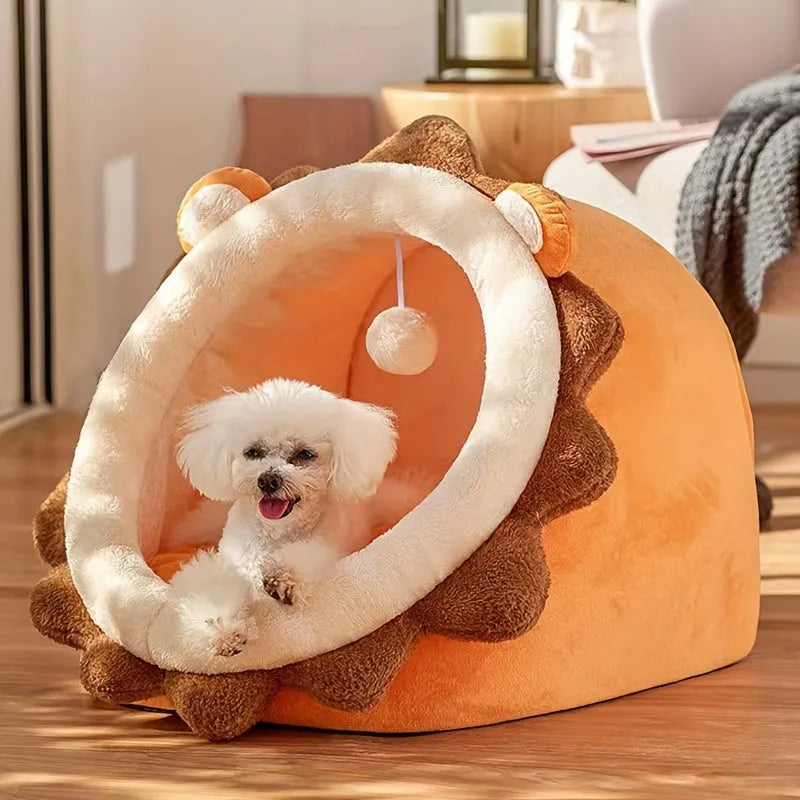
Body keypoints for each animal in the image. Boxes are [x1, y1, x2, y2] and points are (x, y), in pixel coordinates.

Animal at [169, 378, 406, 660]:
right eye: (253, 452)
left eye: (304, 454)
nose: (268, 480)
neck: (276, 532)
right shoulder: (231, 561)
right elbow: (211, 588)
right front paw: (223, 629)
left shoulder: (323, 548)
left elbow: (302, 560)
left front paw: (281, 580)